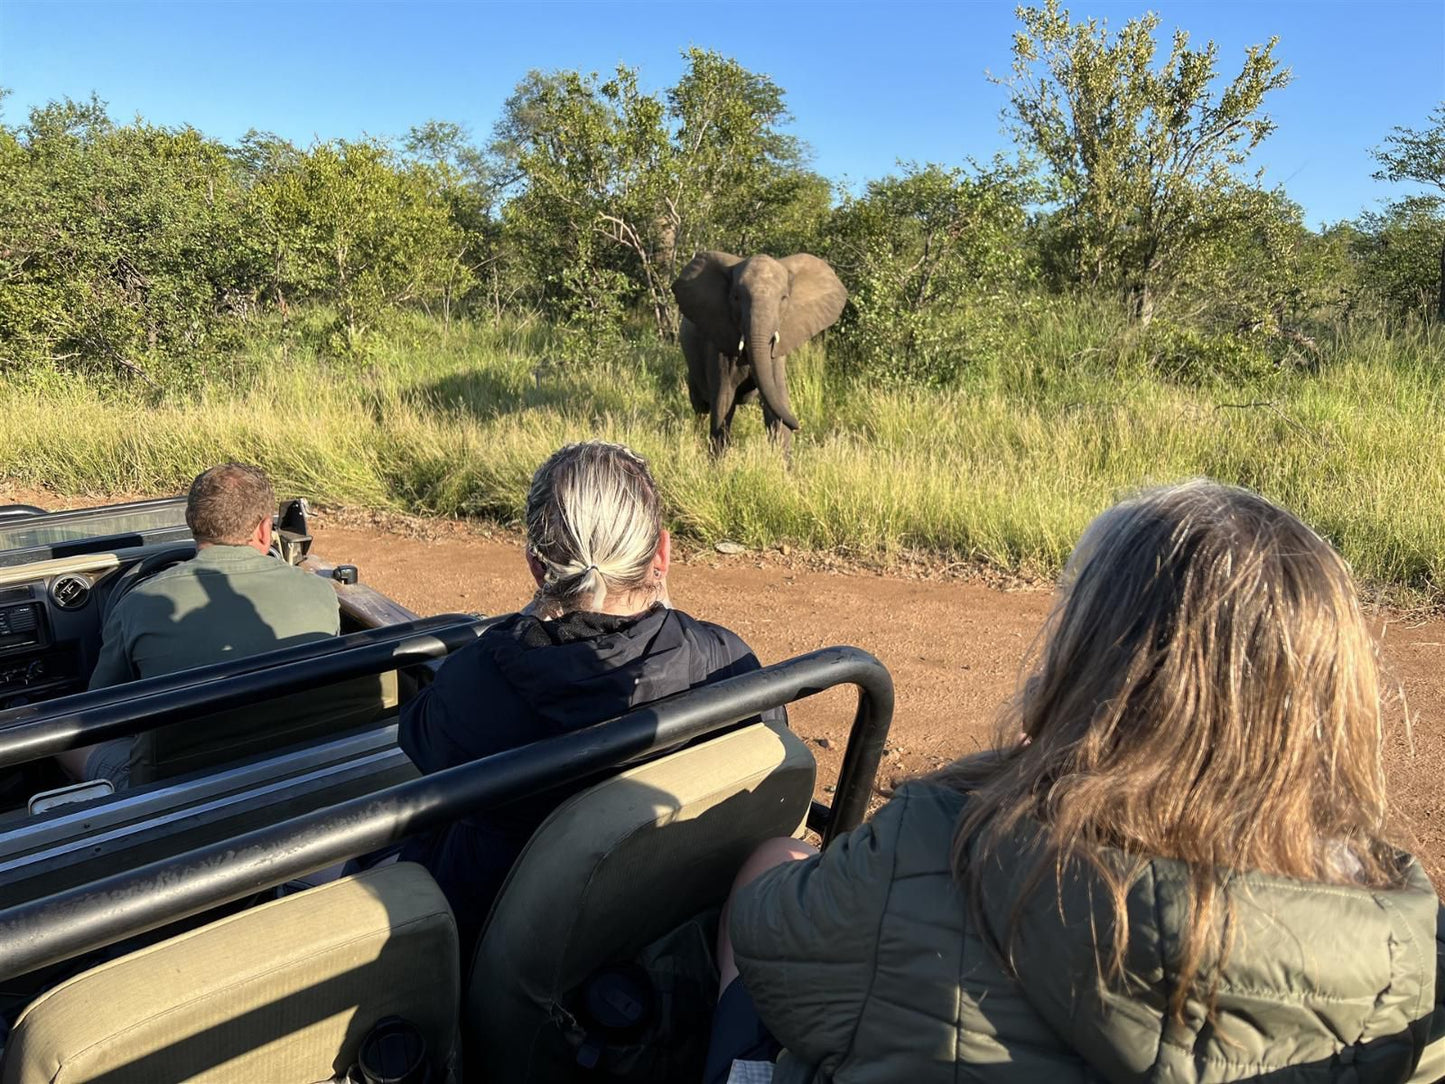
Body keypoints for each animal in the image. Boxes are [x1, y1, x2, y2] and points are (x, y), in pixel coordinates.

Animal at [673, 252, 843, 456]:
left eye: (784, 298)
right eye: (736, 297)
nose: (799, 425)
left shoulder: (775, 355)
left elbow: (776, 401)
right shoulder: (720, 346)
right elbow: (723, 403)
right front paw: (717, 463)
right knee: (701, 407)